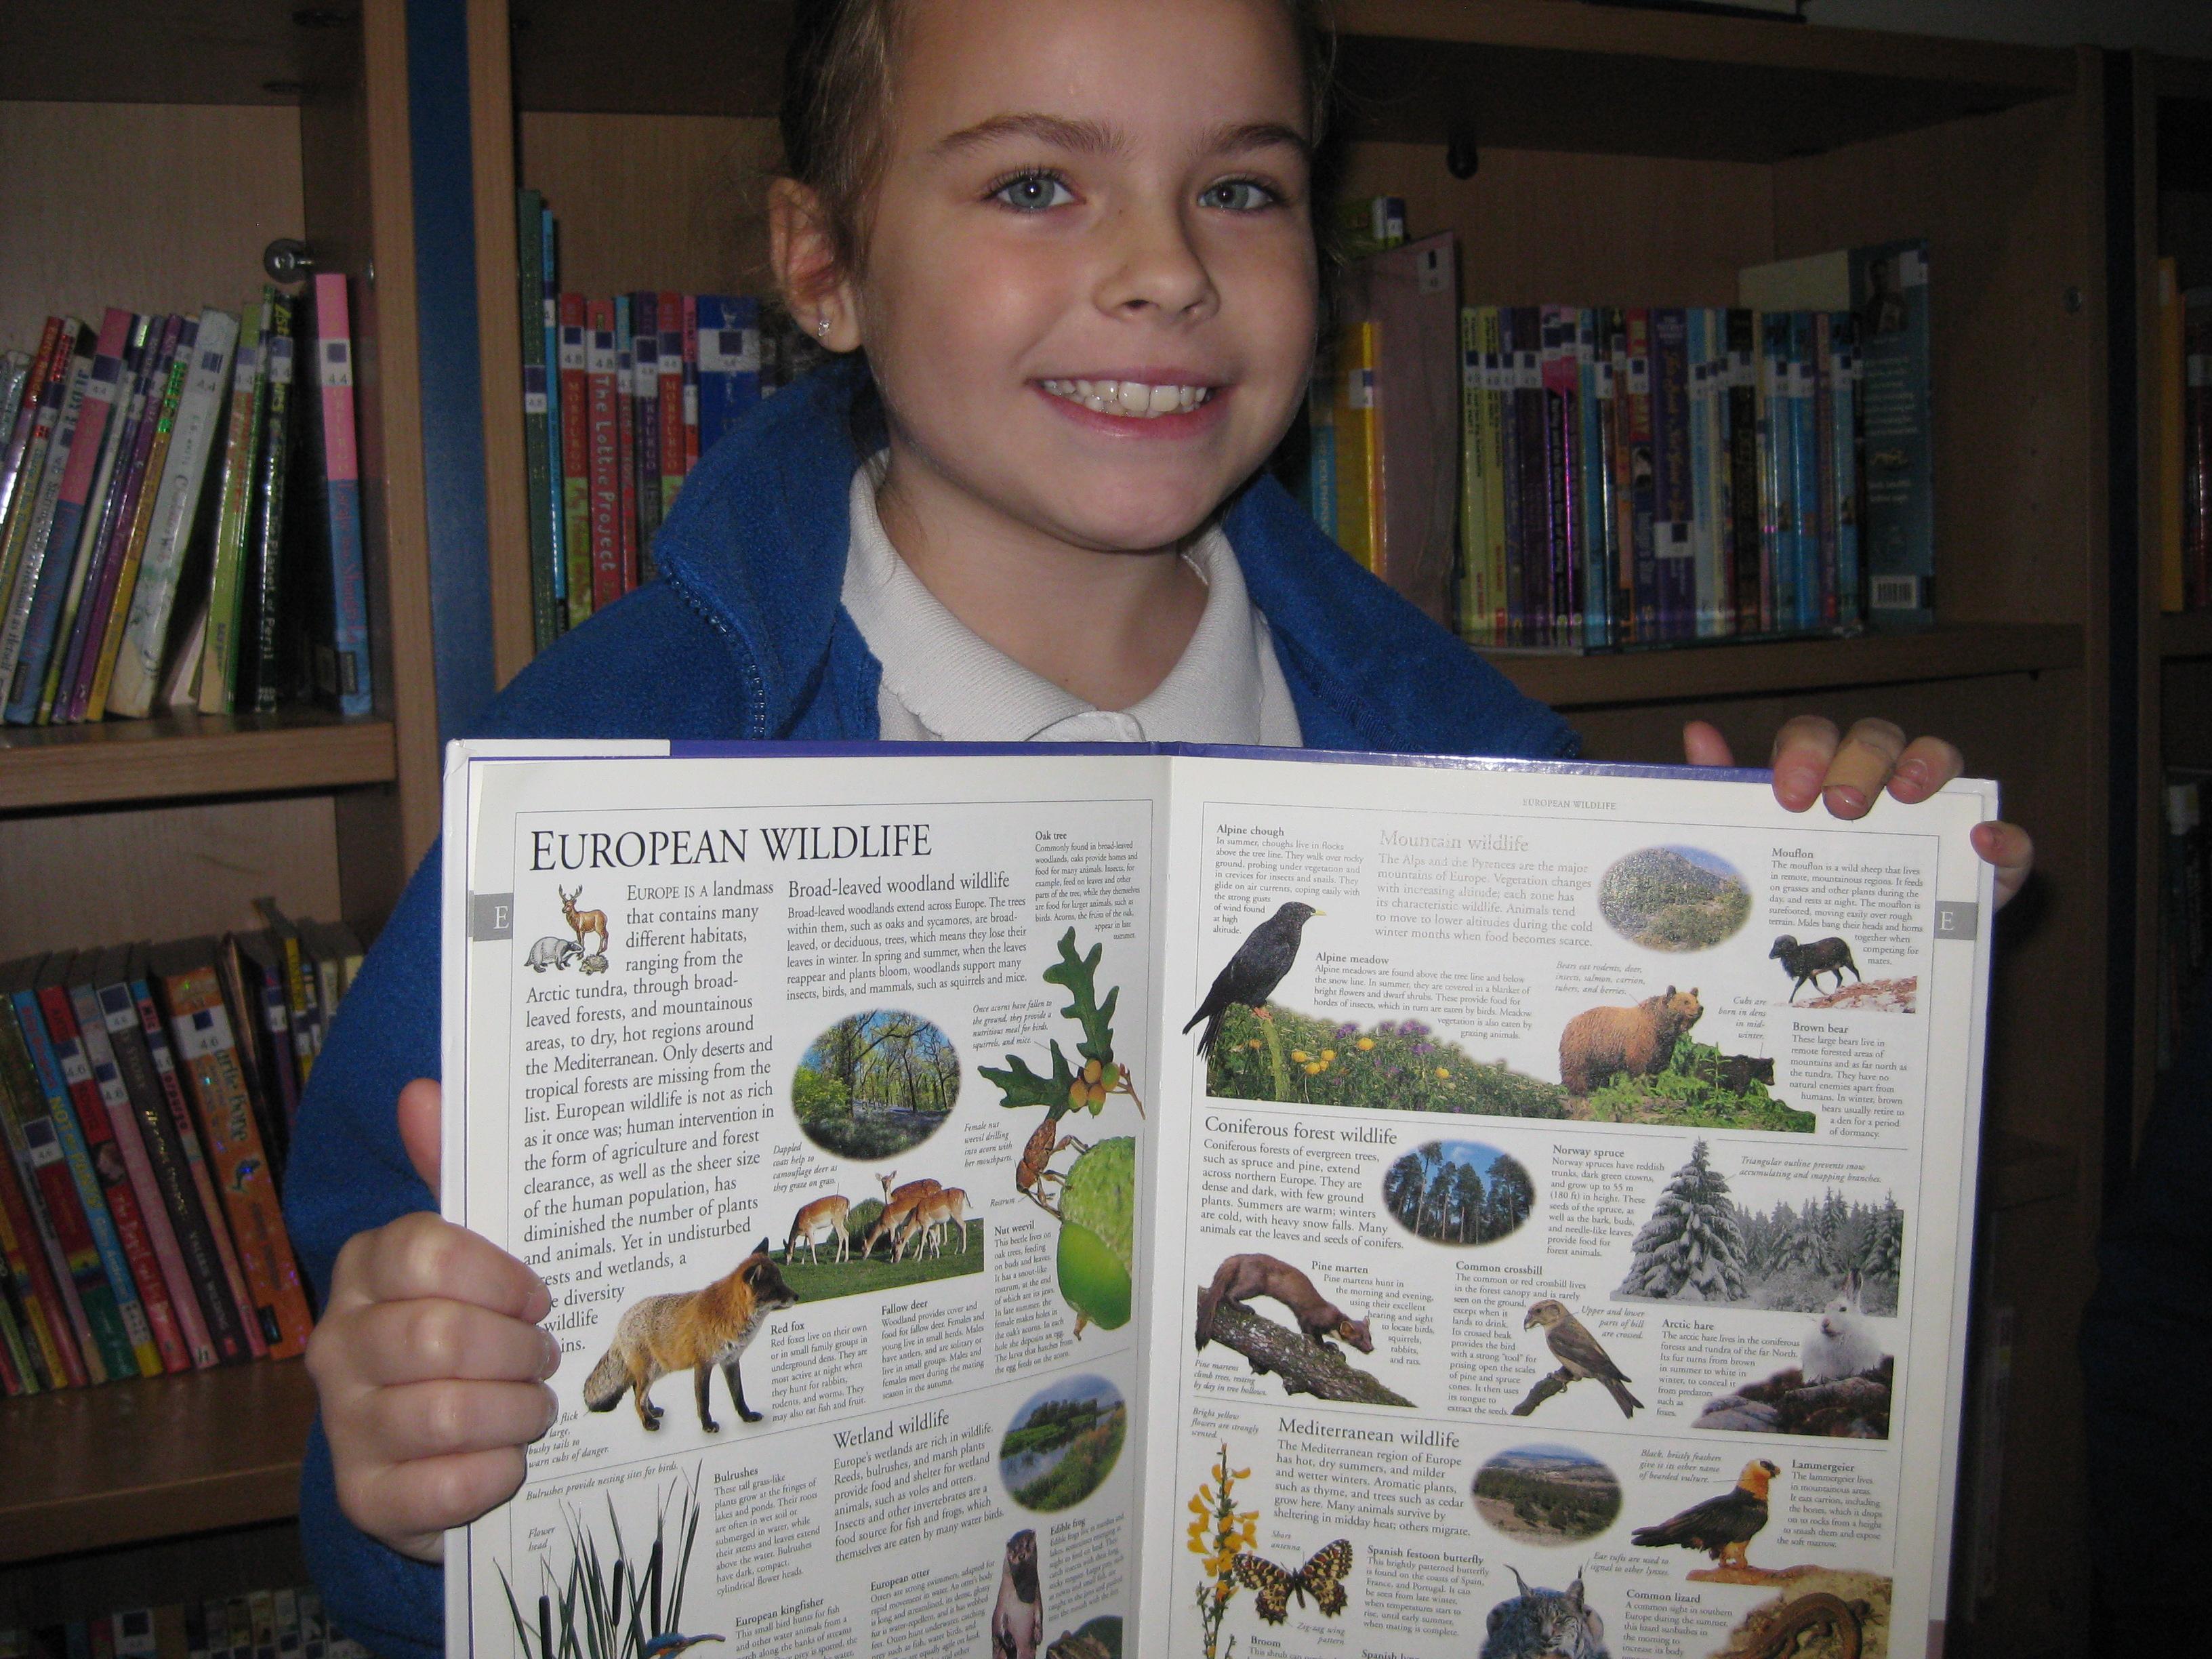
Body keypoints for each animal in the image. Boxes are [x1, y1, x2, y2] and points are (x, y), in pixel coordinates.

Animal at [582, 1239, 798, 1432]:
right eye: (776, 1288)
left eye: (783, 1282)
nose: (797, 1296)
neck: (730, 1314)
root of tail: (621, 1322)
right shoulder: (703, 1365)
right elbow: (704, 1401)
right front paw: (707, 1426)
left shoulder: (730, 1361)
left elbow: (739, 1396)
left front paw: (746, 1416)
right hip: (650, 1371)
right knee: (637, 1399)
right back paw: (648, 1423)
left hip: (658, 1369)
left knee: (636, 1389)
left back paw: (652, 1411)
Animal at [1195, 1253, 1373, 1355]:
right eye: (1358, 1338)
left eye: (1370, 1337)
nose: (1371, 1349)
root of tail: (1239, 1257)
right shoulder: (1311, 1318)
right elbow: (1311, 1333)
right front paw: (1327, 1346)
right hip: (1254, 1283)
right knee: (1229, 1294)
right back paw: (1246, 1308)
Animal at [1558, 986, 1703, 1097]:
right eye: (1686, 1002)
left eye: (1696, 1000)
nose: (1700, 1008)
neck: (1660, 1026)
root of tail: (1570, 1023)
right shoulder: (1641, 1041)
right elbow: (1639, 1067)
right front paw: (1641, 1090)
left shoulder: (1664, 1047)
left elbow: (1656, 1068)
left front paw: (1654, 1090)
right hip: (1583, 1046)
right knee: (1577, 1070)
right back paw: (1580, 1091)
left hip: (1601, 1056)